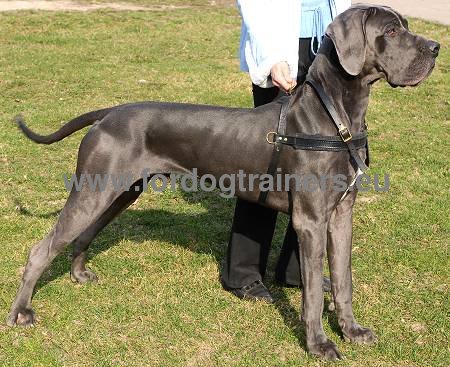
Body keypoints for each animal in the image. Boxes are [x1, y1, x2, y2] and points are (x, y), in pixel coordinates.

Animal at [7, 5, 440, 362]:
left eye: (407, 25)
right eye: (392, 31)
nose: (436, 48)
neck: (335, 114)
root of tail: (110, 112)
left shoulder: (340, 214)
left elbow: (344, 279)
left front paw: (351, 330)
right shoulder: (310, 220)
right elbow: (315, 292)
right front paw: (319, 344)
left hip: (118, 191)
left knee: (84, 233)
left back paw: (79, 274)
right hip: (94, 190)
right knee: (40, 249)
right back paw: (21, 312)